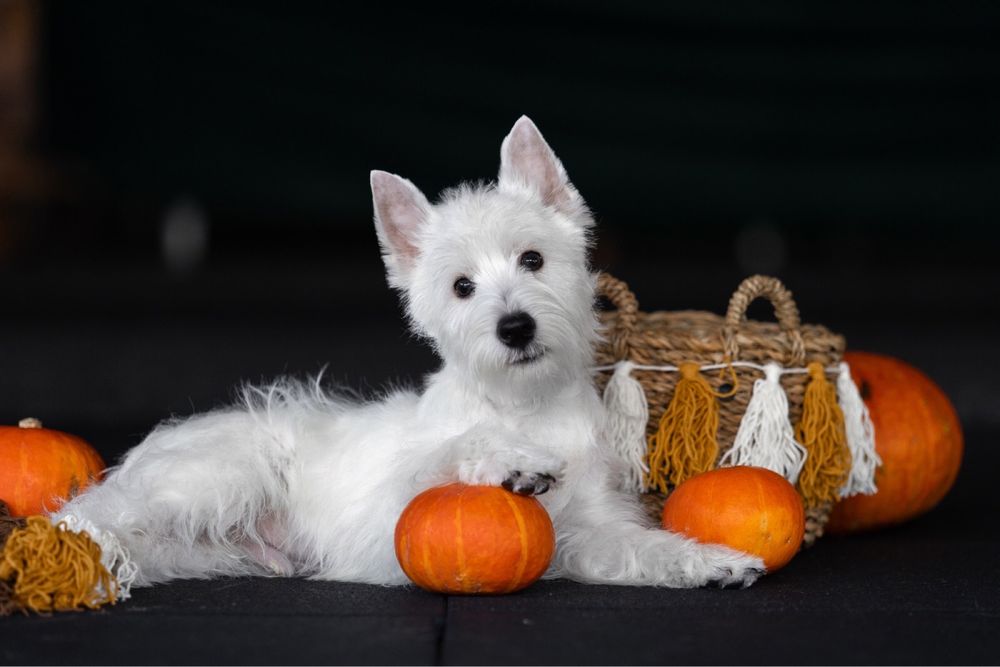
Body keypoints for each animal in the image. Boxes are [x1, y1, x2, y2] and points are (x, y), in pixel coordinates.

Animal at [54, 117, 760, 588]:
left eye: (533, 259)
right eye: (462, 286)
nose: (514, 328)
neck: (524, 407)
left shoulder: (588, 529)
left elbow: (636, 547)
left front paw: (709, 561)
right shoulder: (392, 509)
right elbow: (445, 456)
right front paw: (510, 463)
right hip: (220, 476)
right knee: (91, 515)